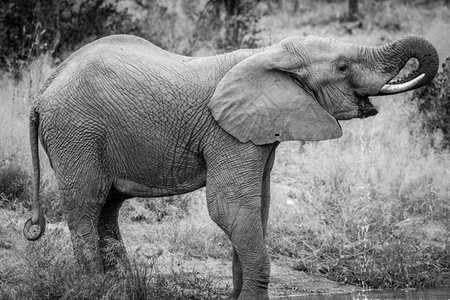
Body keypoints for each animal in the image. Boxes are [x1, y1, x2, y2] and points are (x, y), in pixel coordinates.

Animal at [22, 34, 438, 298]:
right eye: (342, 66)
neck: (268, 54)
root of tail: (42, 92)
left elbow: (257, 209)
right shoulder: (225, 132)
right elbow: (231, 208)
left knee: (108, 207)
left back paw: (120, 287)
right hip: (76, 131)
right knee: (86, 205)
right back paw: (95, 288)